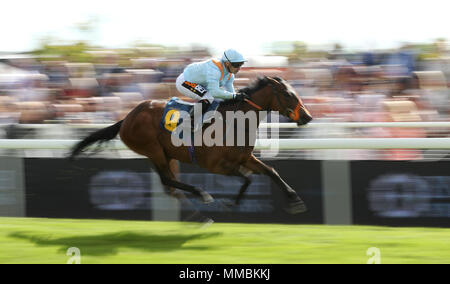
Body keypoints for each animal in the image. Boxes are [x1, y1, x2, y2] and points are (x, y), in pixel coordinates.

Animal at [70, 76, 312, 214]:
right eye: (287, 94)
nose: (307, 117)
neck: (235, 120)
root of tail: (127, 118)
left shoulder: (244, 158)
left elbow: (271, 172)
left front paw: (295, 201)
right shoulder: (216, 166)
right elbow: (248, 178)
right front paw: (230, 203)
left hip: (166, 154)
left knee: (170, 185)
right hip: (154, 150)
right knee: (168, 181)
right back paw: (201, 196)